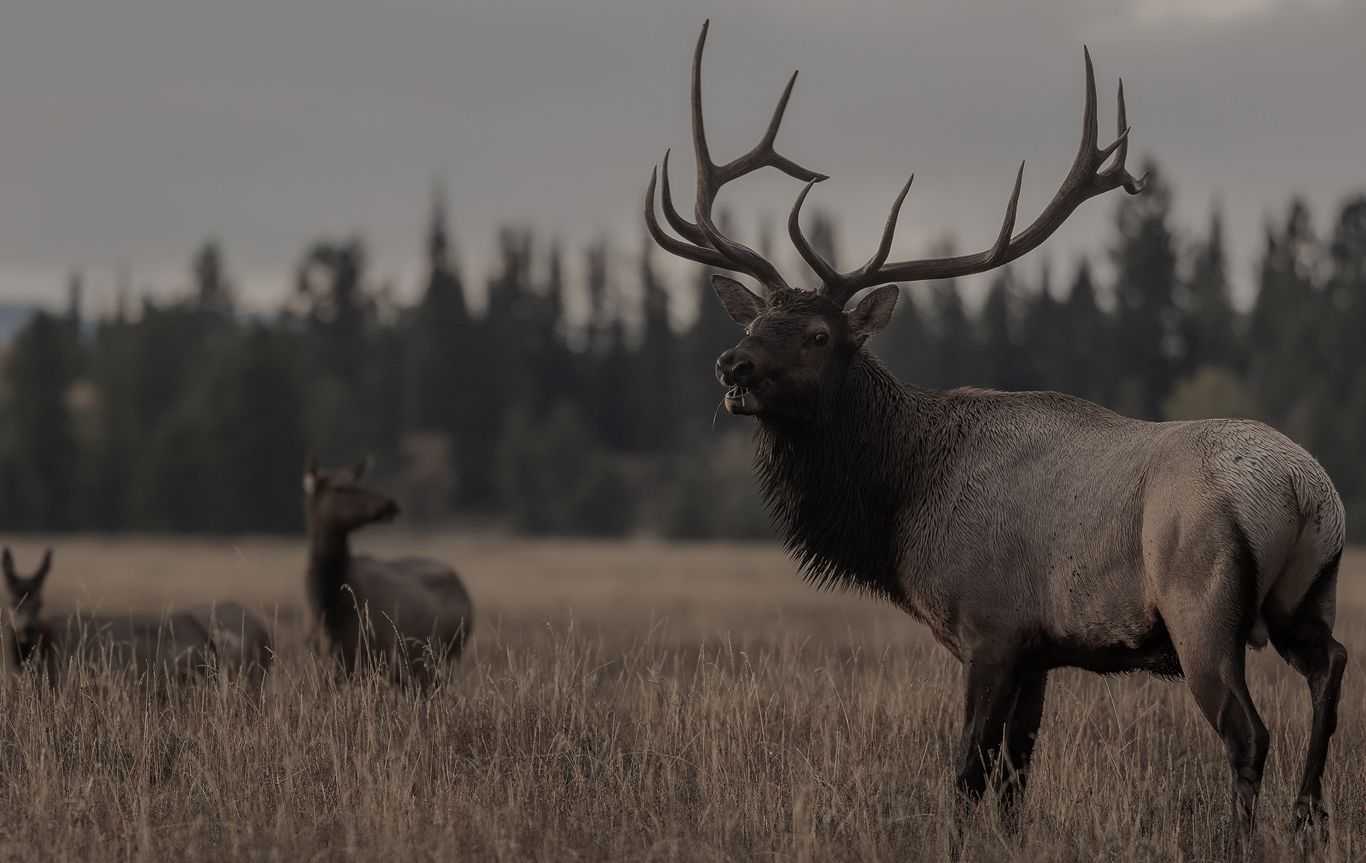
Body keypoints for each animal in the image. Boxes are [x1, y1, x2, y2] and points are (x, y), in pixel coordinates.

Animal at [303, 456, 473, 687]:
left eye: (358, 483)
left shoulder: (373, 657)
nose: (389, 504)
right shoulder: (323, 663)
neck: (328, 607)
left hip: (447, 653)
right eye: (340, 488)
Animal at [645, 22, 1346, 836]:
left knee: (1248, 731)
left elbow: (968, 772)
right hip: (1302, 594)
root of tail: (1305, 488)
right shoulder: (1039, 650)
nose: (732, 365)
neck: (900, 506)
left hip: (1201, 604)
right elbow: (1016, 774)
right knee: (1332, 666)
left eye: (820, 335)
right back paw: (1304, 821)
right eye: (754, 321)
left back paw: (1241, 834)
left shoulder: (992, 629)